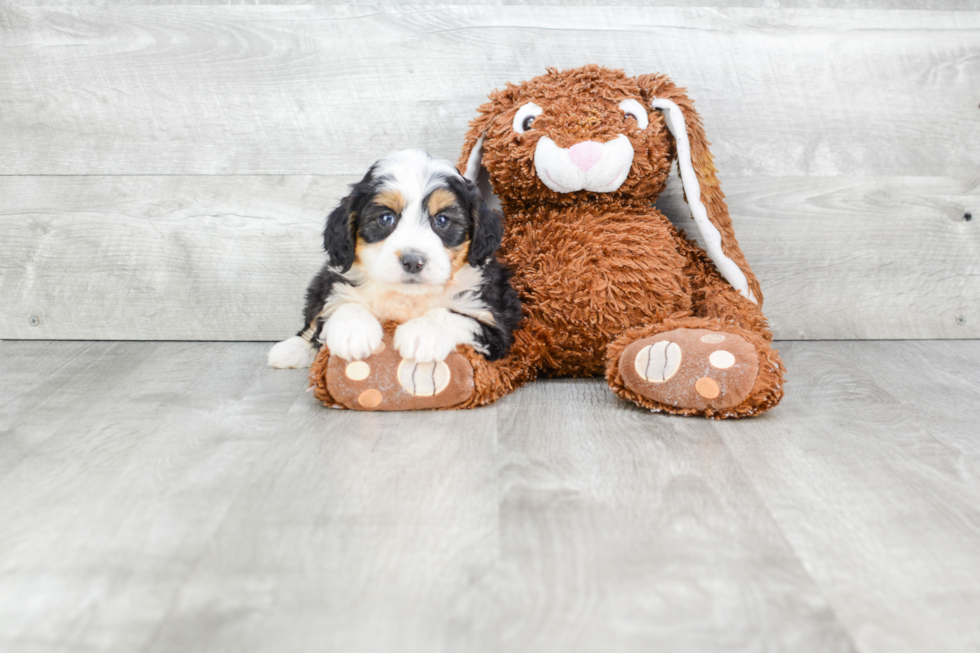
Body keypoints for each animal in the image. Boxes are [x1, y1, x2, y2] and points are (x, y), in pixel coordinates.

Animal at [260, 150, 520, 370]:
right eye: (386, 218)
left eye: (443, 220)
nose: (413, 261)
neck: (407, 296)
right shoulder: (336, 278)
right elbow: (341, 301)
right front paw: (352, 332)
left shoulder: (495, 323)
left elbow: (450, 315)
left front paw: (422, 333)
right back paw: (291, 350)